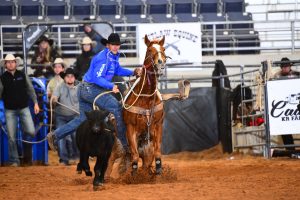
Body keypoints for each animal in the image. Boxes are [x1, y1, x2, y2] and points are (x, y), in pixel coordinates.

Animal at [123, 34, 168, 175]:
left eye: (163, 49)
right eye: (149, 50)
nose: (161, 64)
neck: (146, 98)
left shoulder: (158, 125)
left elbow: (157, 153)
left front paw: (158, 169)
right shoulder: (130, 128)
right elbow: (134, 156)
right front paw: (134, 173)